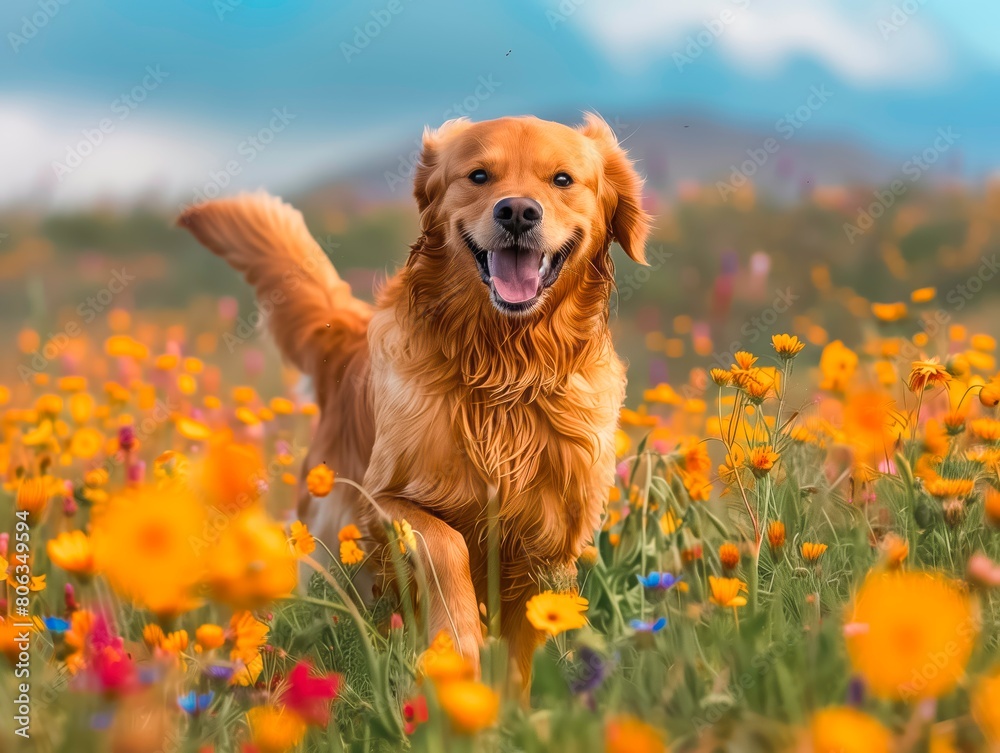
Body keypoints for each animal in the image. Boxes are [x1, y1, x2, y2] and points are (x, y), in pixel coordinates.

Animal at [179, 114, 648, 692]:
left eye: (562, 180)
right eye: (478, 175)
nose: (517, 211)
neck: (505, 370)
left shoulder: (553, 537)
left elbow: (525, 647)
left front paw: (508, 703)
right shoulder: (384, 497)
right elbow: (446, 543)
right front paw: (458, 644)